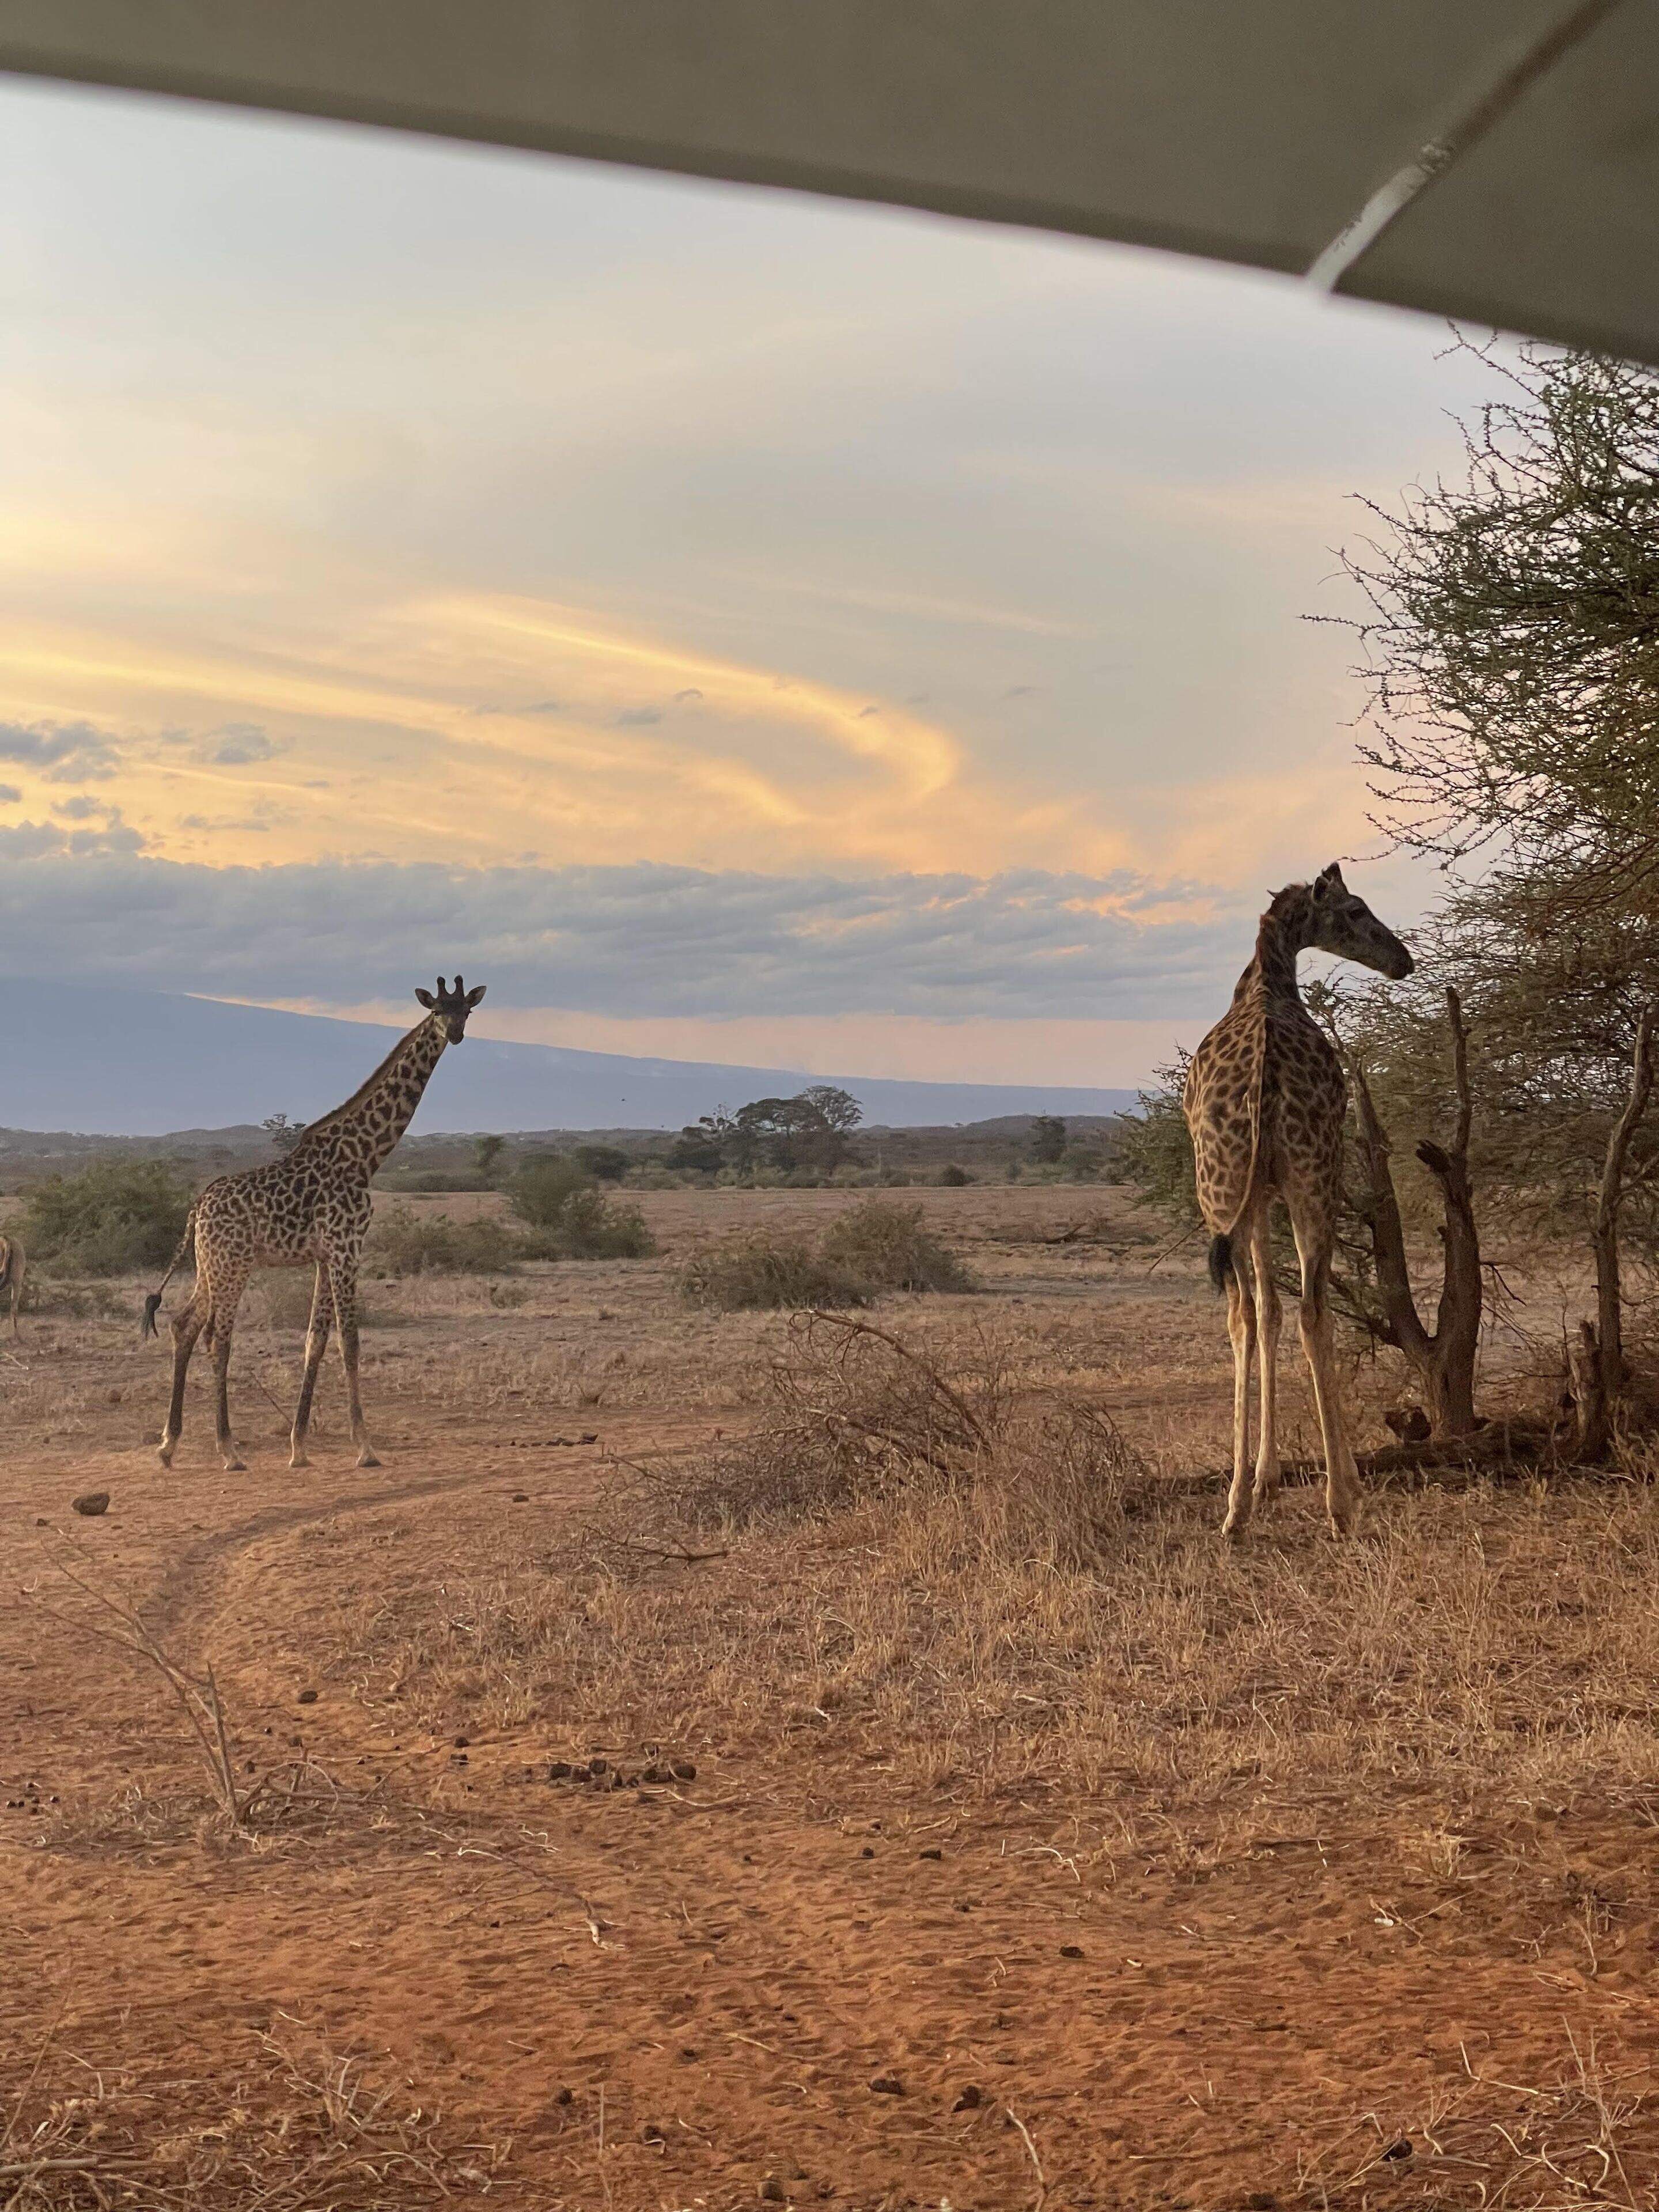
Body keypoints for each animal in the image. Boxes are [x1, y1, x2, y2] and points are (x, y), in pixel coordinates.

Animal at [141, 976, 487, 1473]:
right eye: (438, 1010)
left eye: (467, 1011)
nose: (454, 1034)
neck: (364, 1157)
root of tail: (198, 1206)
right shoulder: (347, 1247)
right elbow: (351, 1342)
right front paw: (365, 1448)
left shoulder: (327, 1254)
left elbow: (316, 1342)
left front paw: (299, 1447)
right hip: (234, 1265)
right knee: (218, 1340)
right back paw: (228, 1450)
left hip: (210, 1264)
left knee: (184, 1325)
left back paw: (169, 1445)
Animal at [1183, 865, 1412, 1539]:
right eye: (1356, 909)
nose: (1403, 961)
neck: (1267, 983)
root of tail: (1265, 1075)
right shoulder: (1276, 1190)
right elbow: (1284, 1311)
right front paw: (1281, 1480)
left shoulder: (1253, 1195)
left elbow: (1264, 1313)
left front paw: (1262, 1483)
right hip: (1316, 1176)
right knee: (1313, 1311)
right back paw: (1341, 1502)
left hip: (1220, 1188)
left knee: (1241, 1312)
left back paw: (1234, 1510)